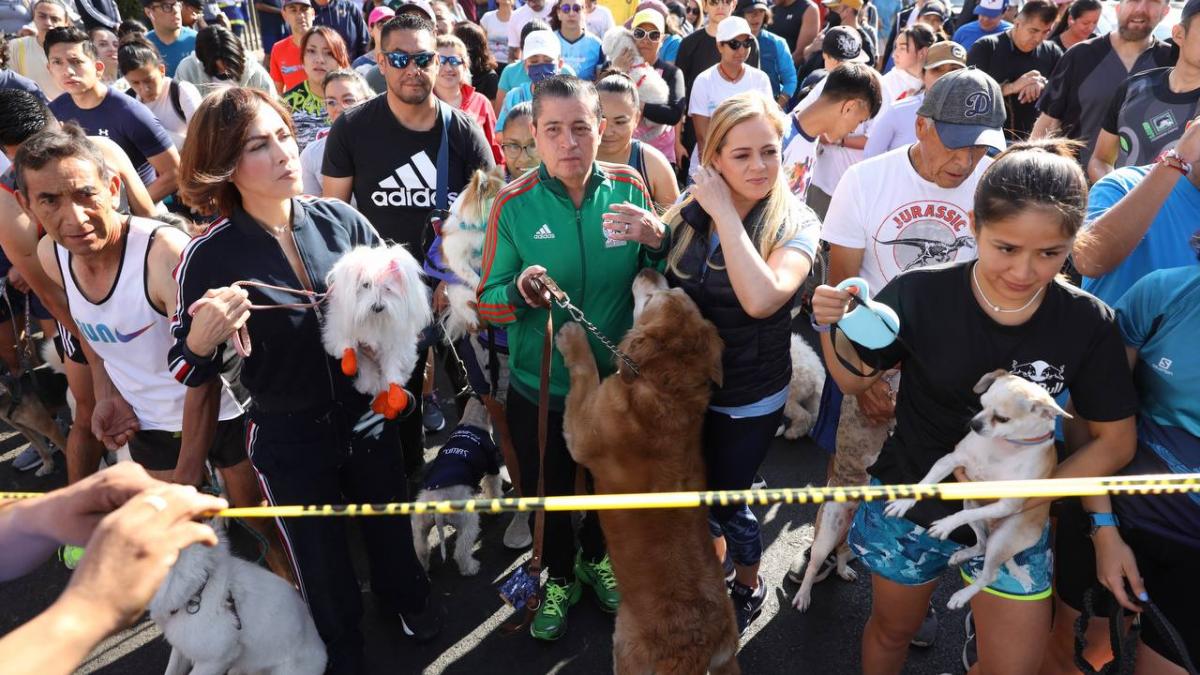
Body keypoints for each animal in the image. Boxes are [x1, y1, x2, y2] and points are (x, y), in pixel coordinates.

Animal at [321, 243, 429, 417]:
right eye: (366, 285)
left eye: (388, 288)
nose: (378, 307)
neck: (374, 319)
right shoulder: (339, 325)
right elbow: (345, 343)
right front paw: (347, 358)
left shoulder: (395, 346)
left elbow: (392, 368)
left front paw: (394, 392)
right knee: (368, 371)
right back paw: (365, 384)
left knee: (387, 381)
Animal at [412, 396, 501, 576]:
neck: (472, 421)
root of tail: (438, 506)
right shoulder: (492, 468)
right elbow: (494, 488)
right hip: (468, 521)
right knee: (461, 551)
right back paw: (471, 568)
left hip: (420, 526)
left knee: (421, 550)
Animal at [883, 369, 1070, 607]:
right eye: (981, 404)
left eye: (1002, 418)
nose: (974, 424)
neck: (1005, 446)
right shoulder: (950, 461)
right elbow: (925, 483)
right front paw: (903, 503)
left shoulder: (1006, 505)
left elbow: (958, 517)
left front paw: (945, 524)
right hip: (974, 510)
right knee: (981, 544)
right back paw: (962, 555)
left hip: (1001, 538)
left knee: (990, 574)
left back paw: (962, 596)